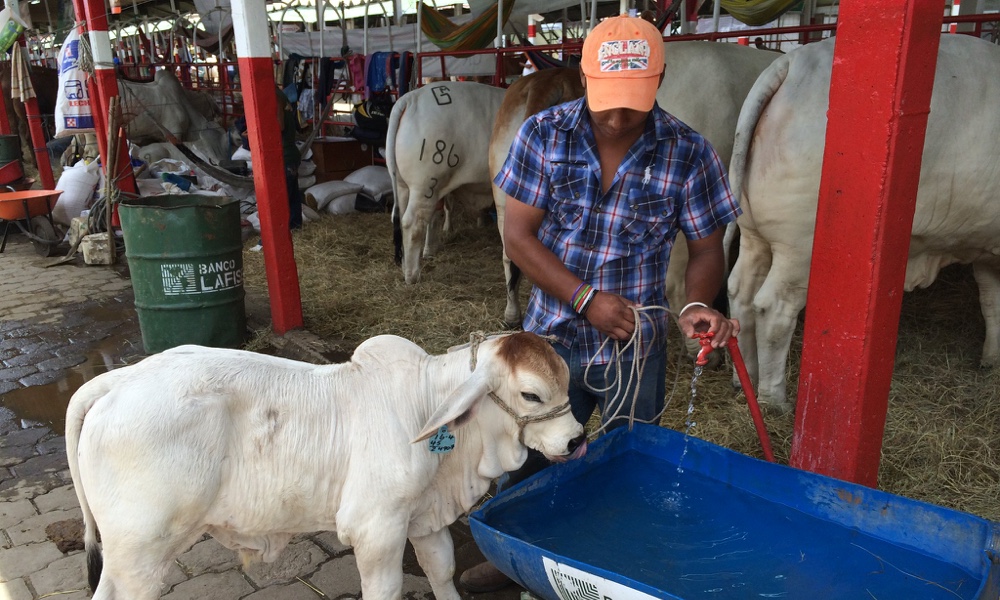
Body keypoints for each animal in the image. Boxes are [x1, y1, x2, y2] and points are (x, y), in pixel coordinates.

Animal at [66, 332, 584, 600]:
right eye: (531, 394)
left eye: (567, 382)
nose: (576, 439)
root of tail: (116, 381)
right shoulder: (376, 529)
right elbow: (385, 590)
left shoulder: (424, 518)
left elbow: (442, 571)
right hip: (142, 554)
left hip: (127, 555)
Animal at [384, 81, 504, 284]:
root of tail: (409, 98)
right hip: (425, 183)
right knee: (413, 223)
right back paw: (412, 275)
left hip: (403, 185)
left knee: (402, 218)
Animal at [728, 34, 1000, 412]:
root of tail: (791, 62)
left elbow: (992, 303)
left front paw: (992, 359)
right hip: (800, 248)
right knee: (774, 309)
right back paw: (774, 399)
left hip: (754, 235)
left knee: (740, 292)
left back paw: (745, 381)